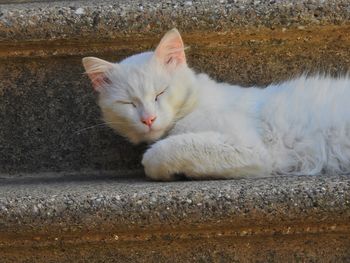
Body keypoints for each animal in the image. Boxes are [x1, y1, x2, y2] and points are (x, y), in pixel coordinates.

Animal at [82, 28, 350, 182]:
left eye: (160, 93)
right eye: (127, 102)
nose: (148, 119)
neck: (195, 102)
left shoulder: (250, 149)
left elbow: (161, 152)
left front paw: (162, 169)